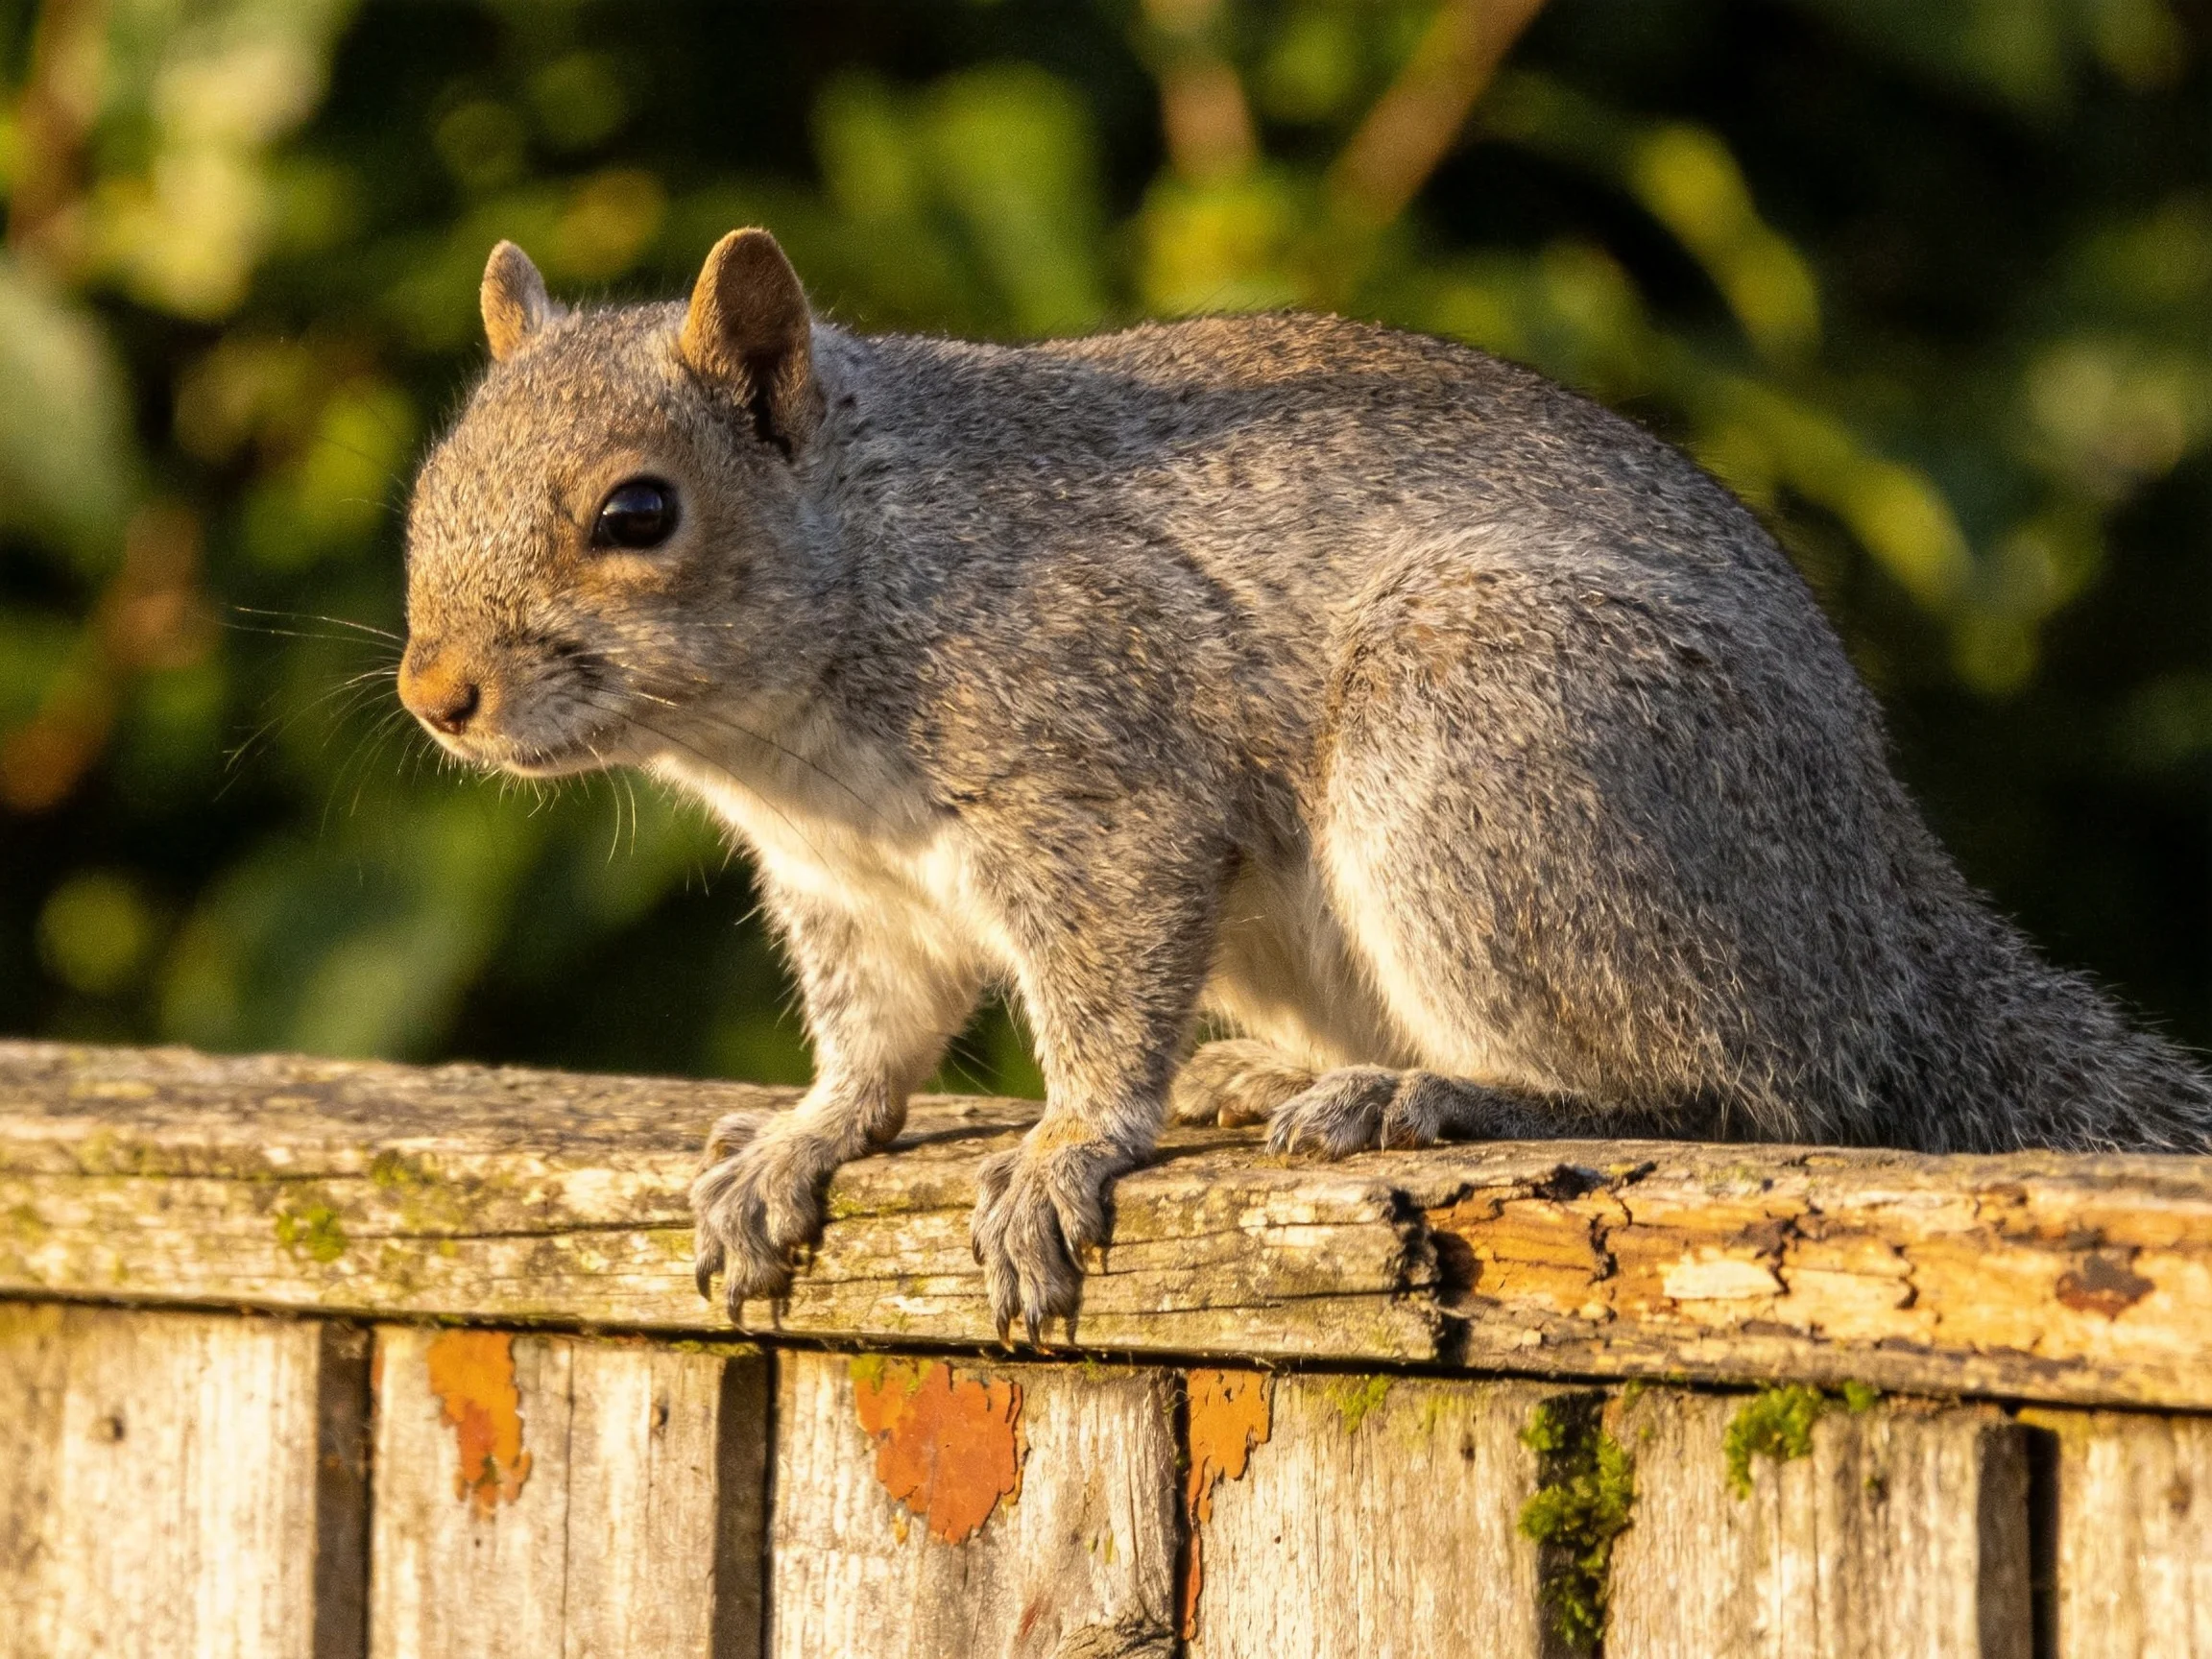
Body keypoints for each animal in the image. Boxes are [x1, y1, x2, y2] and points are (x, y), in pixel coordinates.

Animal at [400, 227, 2212, 1340]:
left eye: (638, 513)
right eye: (433, 481)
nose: (436, 694)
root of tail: (1886, 918)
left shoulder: (1102, 781)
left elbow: (1105, 989)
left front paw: (1064, 1150)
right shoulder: (856, 893)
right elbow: (876, 1042)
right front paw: (799, 1138)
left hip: (1496, 750)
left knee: (1746, 1087)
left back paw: (1431, 1091)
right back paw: (1276, 1072)